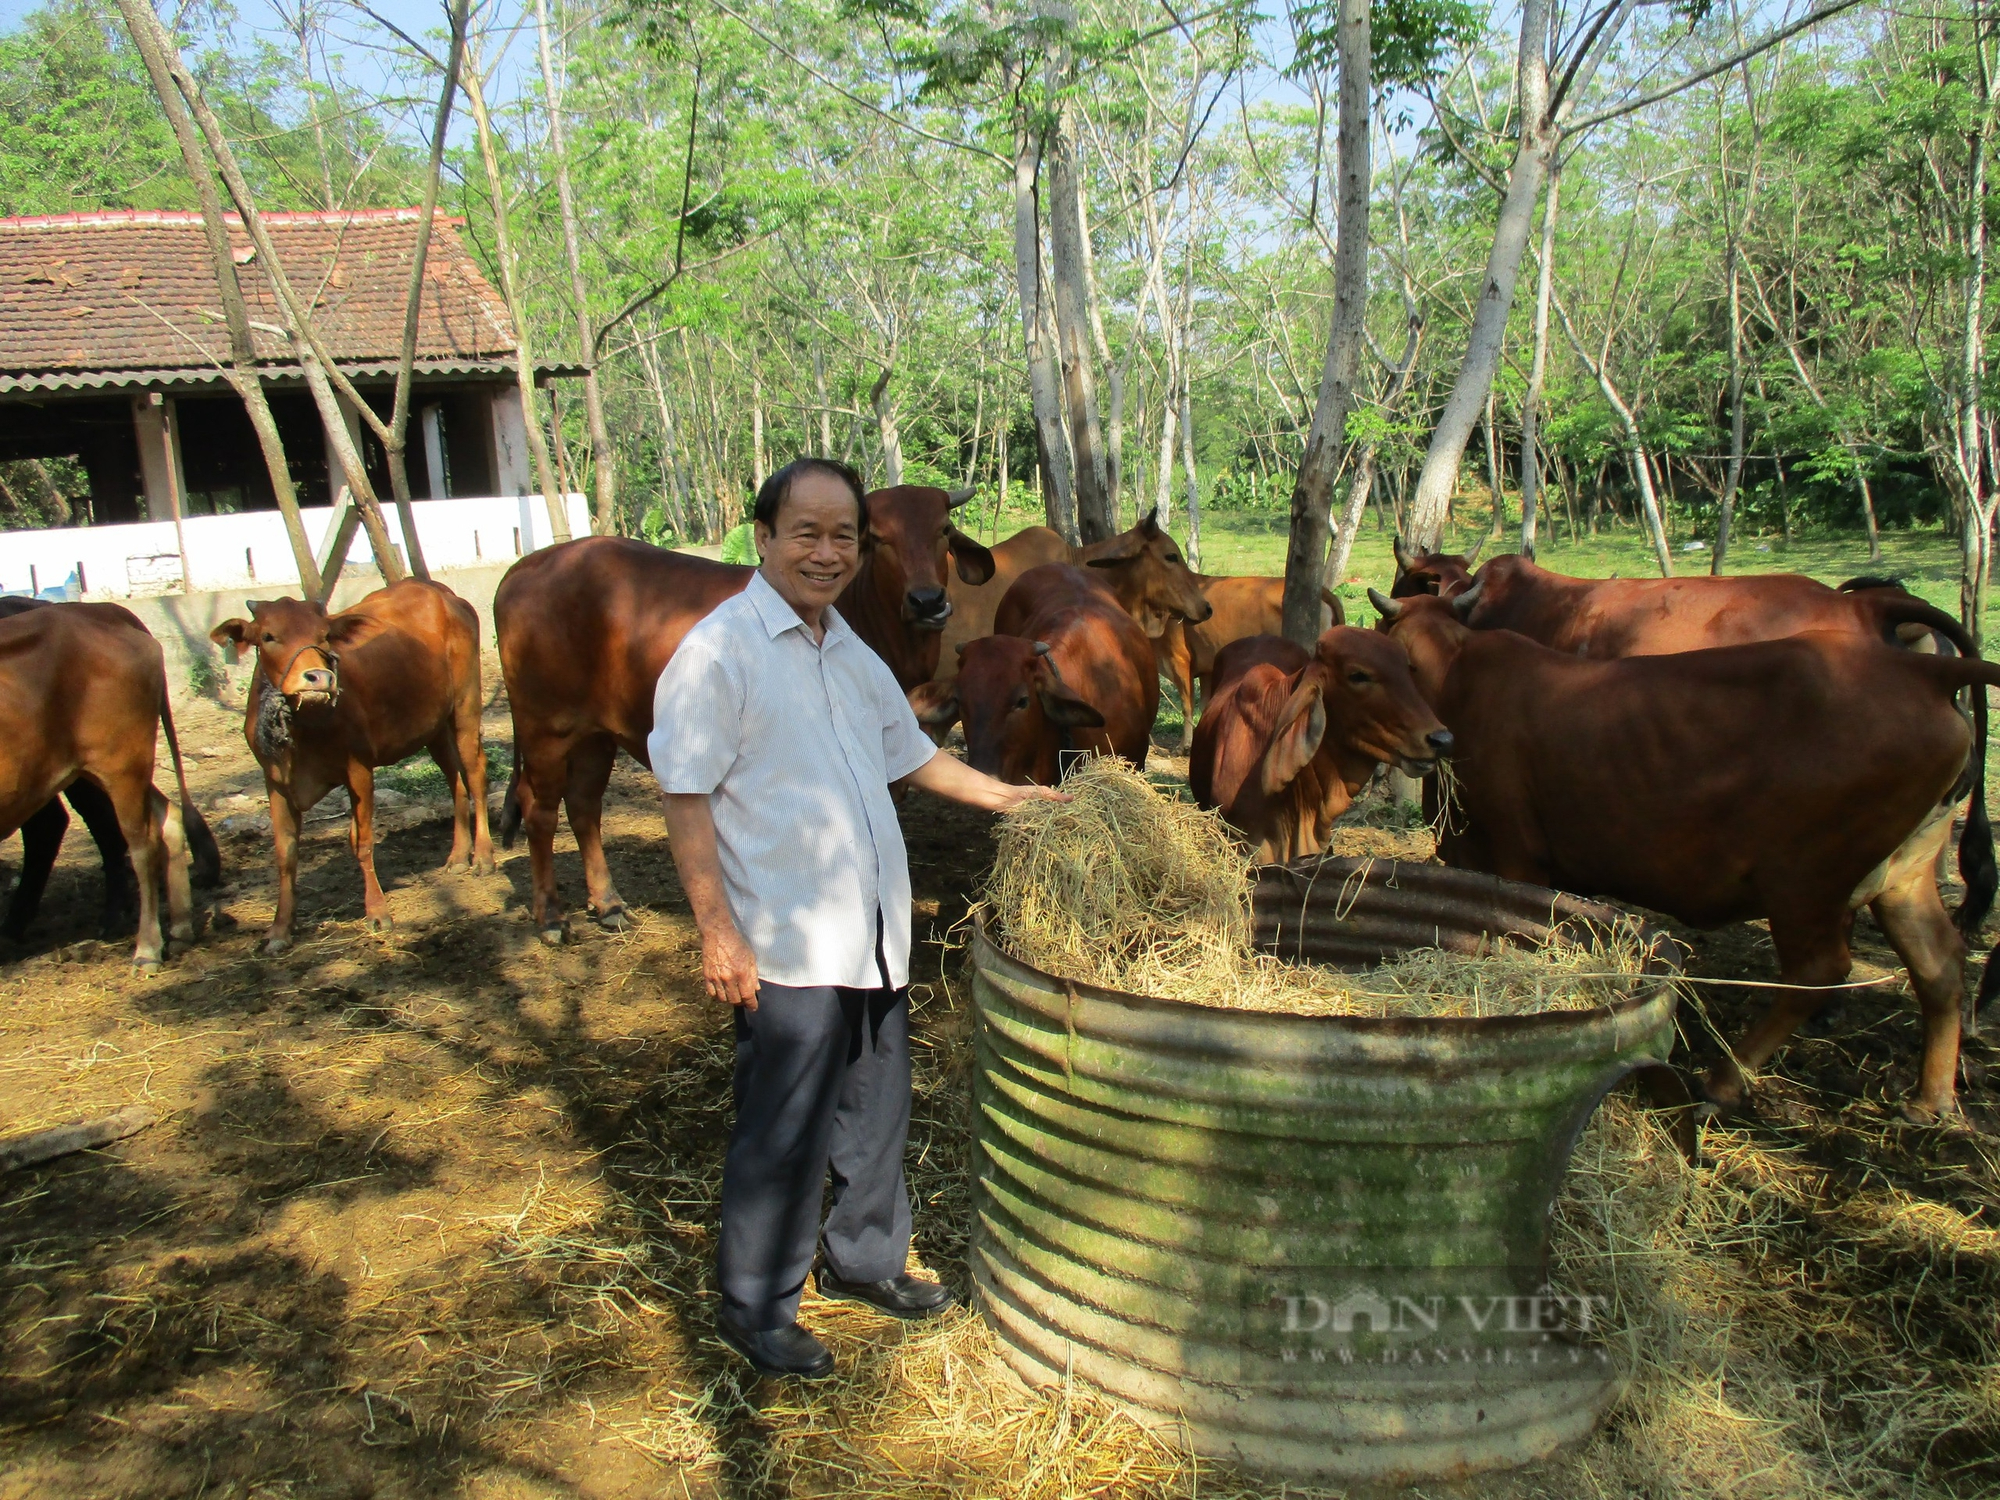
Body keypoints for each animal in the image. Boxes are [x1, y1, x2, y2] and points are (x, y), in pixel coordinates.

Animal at [215, 580, 492, 956]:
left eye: (324, 636)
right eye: (268, 636)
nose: (318, 678)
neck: (305, 726)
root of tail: (440, 592)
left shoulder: (358, 770)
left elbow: (361, 841)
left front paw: (377, 912)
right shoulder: (275, 782)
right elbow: (285, 854)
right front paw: (279, 929)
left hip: (465, 704)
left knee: (474, 771)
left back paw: (483, 856)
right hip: (432, 726)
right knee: (455, 779)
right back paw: (459, 855)